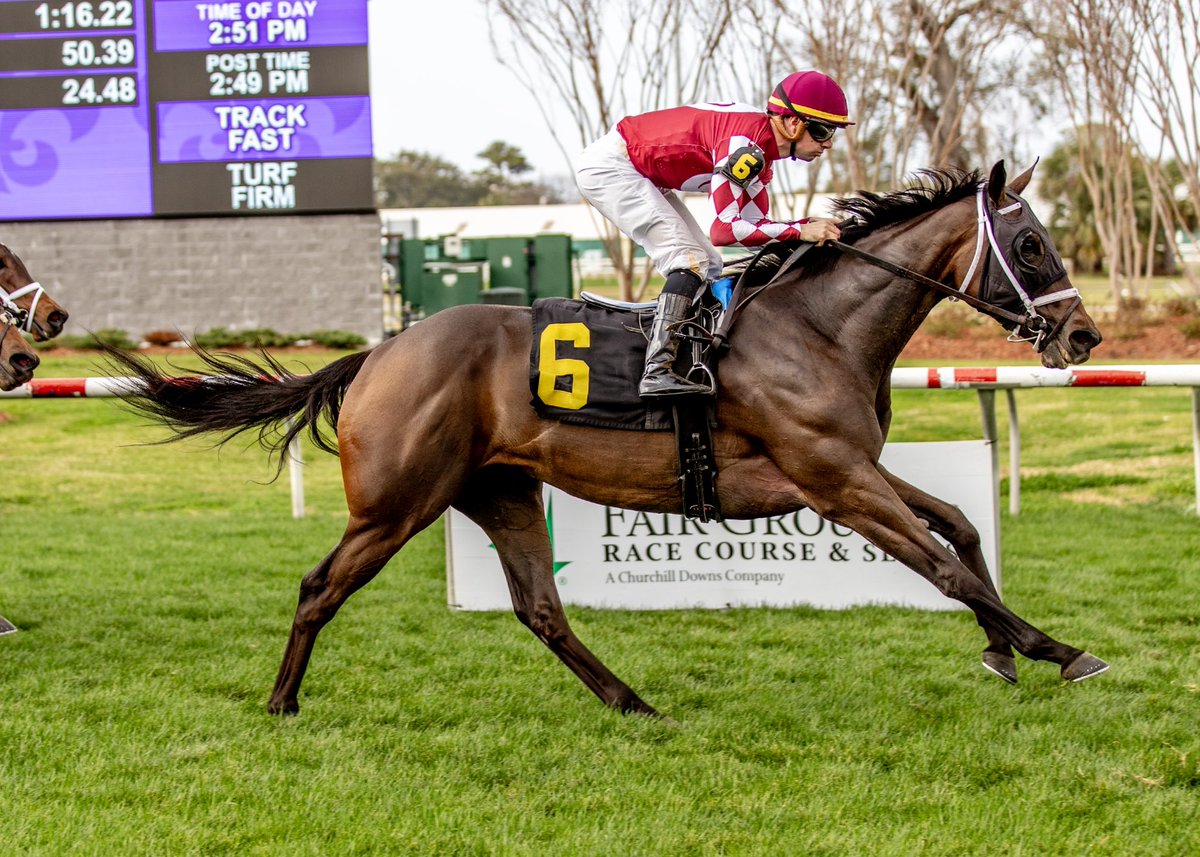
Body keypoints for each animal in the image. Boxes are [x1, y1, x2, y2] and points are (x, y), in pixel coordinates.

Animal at [104, 161, 1109, 718]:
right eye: (1030, 246)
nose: (1085, 336)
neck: (820, 328)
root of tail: (381, 350)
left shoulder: (853, 470)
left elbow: (961, 531)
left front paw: (1004, 647)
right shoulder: (833, 478)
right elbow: (940, 566)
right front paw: (1055, 647)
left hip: (500, 493)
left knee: (541, 609)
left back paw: (634, 702)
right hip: (395, 504)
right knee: (321, 586)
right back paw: (281, 700)